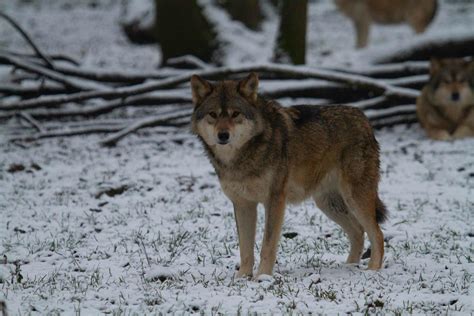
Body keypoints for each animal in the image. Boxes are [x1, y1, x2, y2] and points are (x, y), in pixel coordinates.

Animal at [191, 73, 386, 278]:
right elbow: (245, 248)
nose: (223, 135)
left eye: (235, 114)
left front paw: (262, 277)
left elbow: (267, 245)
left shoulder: (275, 199)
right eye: (213, 114)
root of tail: (364, 118)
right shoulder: (243, 204)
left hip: (354, 198)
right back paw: (349, 268)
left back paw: (372, 270)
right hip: (328, 204)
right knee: (358, 232)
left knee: (377, 234)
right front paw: (242, 277)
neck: (242, 157)